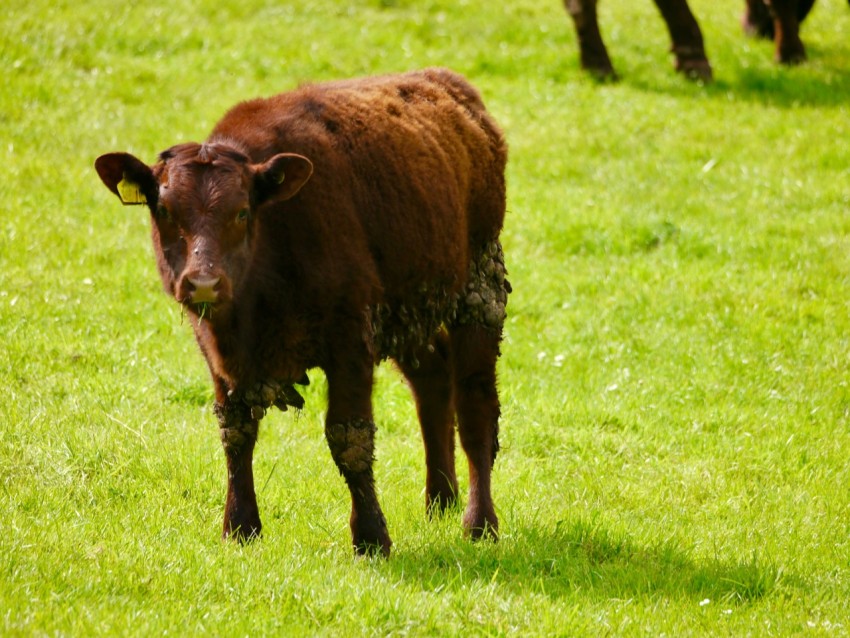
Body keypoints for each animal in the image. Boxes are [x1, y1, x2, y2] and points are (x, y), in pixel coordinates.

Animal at [94, 68, 510, 557]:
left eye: (242, 211)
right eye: (163, 209)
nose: (203, 282)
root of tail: (456, 92)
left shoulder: (350, 339)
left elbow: (349, 436)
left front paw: (371, 537)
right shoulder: (216, 349)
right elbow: (235, 432)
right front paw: (240, 527)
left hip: (480, 289)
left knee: (475, 406)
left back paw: (478, 523)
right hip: (412, 308)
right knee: (432, 383)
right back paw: (439, 500)